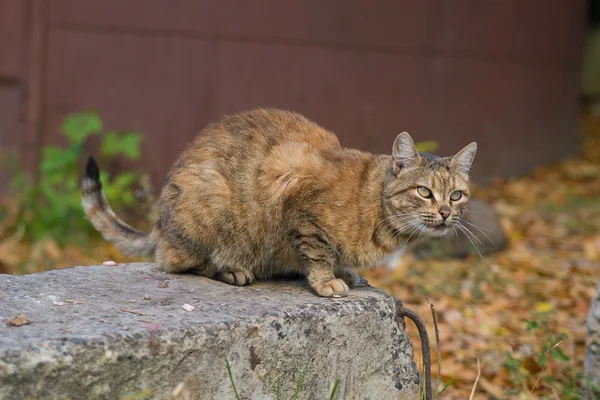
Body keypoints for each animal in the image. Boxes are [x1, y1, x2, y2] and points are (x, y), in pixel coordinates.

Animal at [82, 108, 478, 296]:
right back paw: (231, 270)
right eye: (424, 192)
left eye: (456, 195)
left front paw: (342, 270)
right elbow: (318, 253)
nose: (445, 212)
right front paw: (326, 280)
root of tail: (160, 225)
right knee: (176, 262)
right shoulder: (301, 208)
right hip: (209, 204)